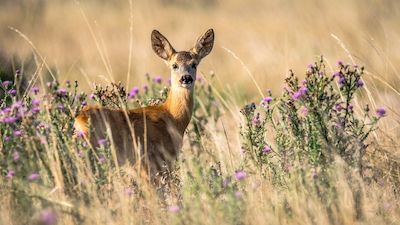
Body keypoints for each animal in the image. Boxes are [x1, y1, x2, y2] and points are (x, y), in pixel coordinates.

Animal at [74, 28, 214, 181]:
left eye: (194, 64)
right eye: (174, 65)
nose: (186, 78)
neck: (172, 117)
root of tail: (79, 120)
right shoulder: (156, 160)